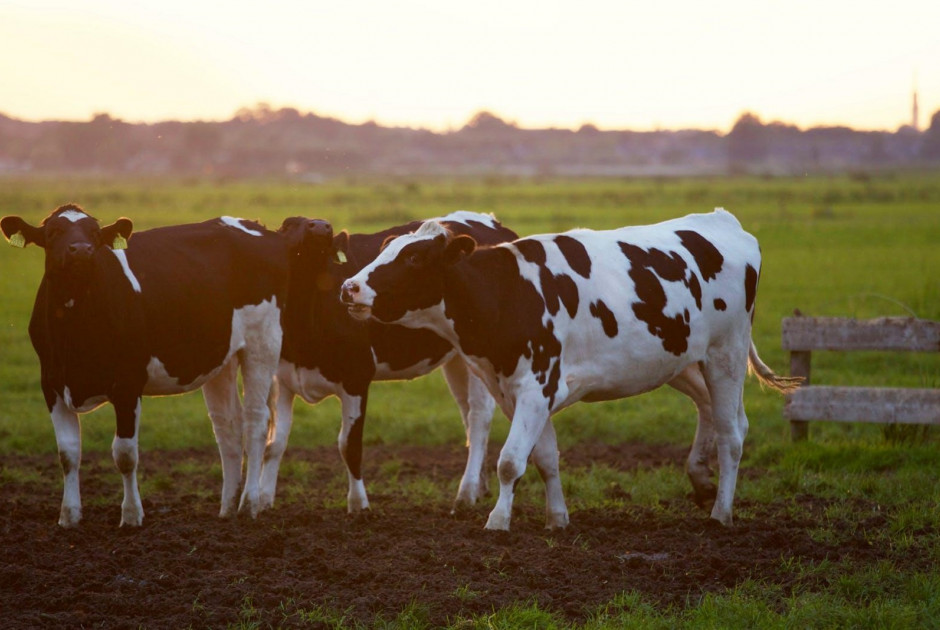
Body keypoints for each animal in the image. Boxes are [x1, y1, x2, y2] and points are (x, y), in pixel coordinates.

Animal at [0, 206, 286, 528]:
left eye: (95, 234)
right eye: (53, 233)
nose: (82, 250)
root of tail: (254, 225)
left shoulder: (127, 384)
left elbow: (125, 454)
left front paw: (131, 515)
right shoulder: (51, 384)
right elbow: (68, 453)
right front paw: (69, 517)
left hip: (262, 343)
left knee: (256, 421)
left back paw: (249, 504)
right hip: (222, 357)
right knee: (228, 426)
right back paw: (226, 507)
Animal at [258, 212, 516, 512]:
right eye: (289, 224)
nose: (321, 226)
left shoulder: (357, 377)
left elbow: (349, 445)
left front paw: (359, 505)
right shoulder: (282, 379)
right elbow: (274, 443)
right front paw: (262, 501)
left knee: (478, 418)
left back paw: (466, 493)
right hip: (459, 359)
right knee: (467, 415)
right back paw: (480, 487)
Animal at [342, 210, 804, 532]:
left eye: (414, 258)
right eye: (385, 249)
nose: (349, 287)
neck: (508, 293)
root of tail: (722, 220)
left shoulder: (536, 385)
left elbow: (510, 461)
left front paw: (497, 521)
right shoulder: (516, 391)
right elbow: (544, 458)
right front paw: (557, 518)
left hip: (726, 354)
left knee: (732, 434)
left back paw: (721, 512)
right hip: (681, 360)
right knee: (712, 411)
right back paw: (701, 479)